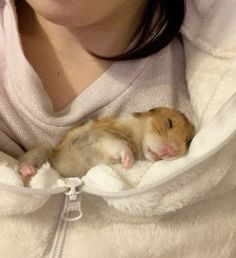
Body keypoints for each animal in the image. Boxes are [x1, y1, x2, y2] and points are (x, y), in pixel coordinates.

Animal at [19, 106, 195, 181]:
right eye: (169, 123)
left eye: (188, 141)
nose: (172, 151)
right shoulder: (105, 137)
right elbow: (122, 147)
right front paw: (127, 163)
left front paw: (126, 164)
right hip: (43, 150)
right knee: (28, 160)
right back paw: (27, 170)